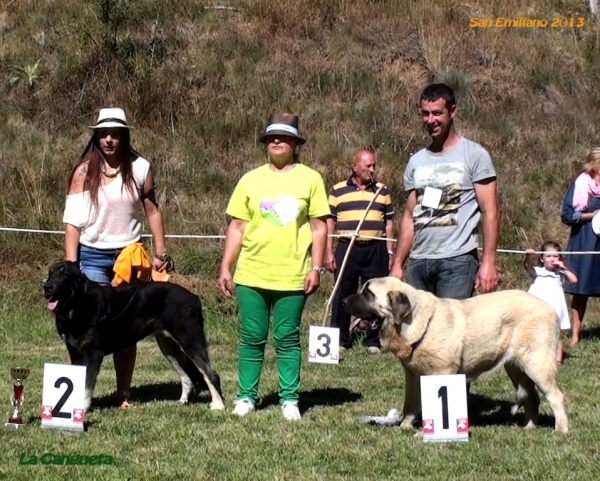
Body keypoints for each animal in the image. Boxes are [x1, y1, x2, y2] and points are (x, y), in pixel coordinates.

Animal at [42, 260, 225, 410]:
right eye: (50, 273)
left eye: (64, 274)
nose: (47, 287)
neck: (78, 303)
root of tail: (194, 298)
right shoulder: (75, 352)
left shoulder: (94, 354)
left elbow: (87, 385)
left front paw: (83, 408)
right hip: (168, 346)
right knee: (187, 376)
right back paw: (182, 402)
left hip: (190, 340)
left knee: (211, 374)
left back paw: (218, 405)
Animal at [342, 276, 568, 434]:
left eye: (368, 293)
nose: (343, 301)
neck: (416, 323)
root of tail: (550, 309)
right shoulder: (413, 376)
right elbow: (411, 404)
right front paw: (405, 426)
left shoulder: (443, 373)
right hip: (516, 368)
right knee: (532, 397)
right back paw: (529, 428)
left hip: (536, 364)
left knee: (555, 396)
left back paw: (561, 430)